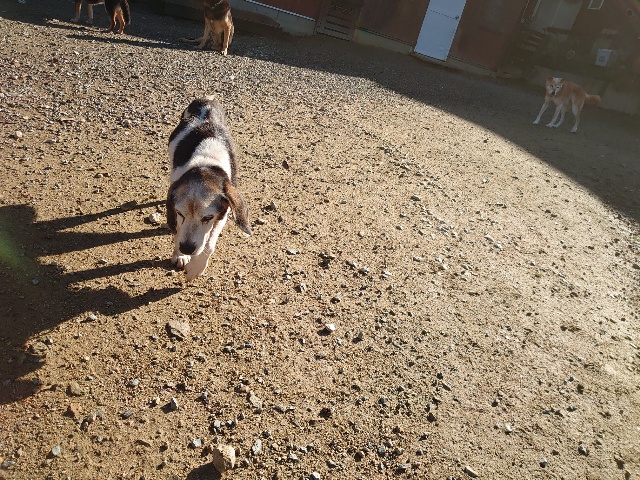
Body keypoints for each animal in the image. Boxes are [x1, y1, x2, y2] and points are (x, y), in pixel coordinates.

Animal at [166, 97, 251, 281]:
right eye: (180, 213)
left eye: (208, 217)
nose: (186, 249)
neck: (206, 165)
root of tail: (205, 101)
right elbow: (178, 231)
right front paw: (179, 255)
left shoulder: (223, 212)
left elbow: (210, 244)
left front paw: (196, 267)